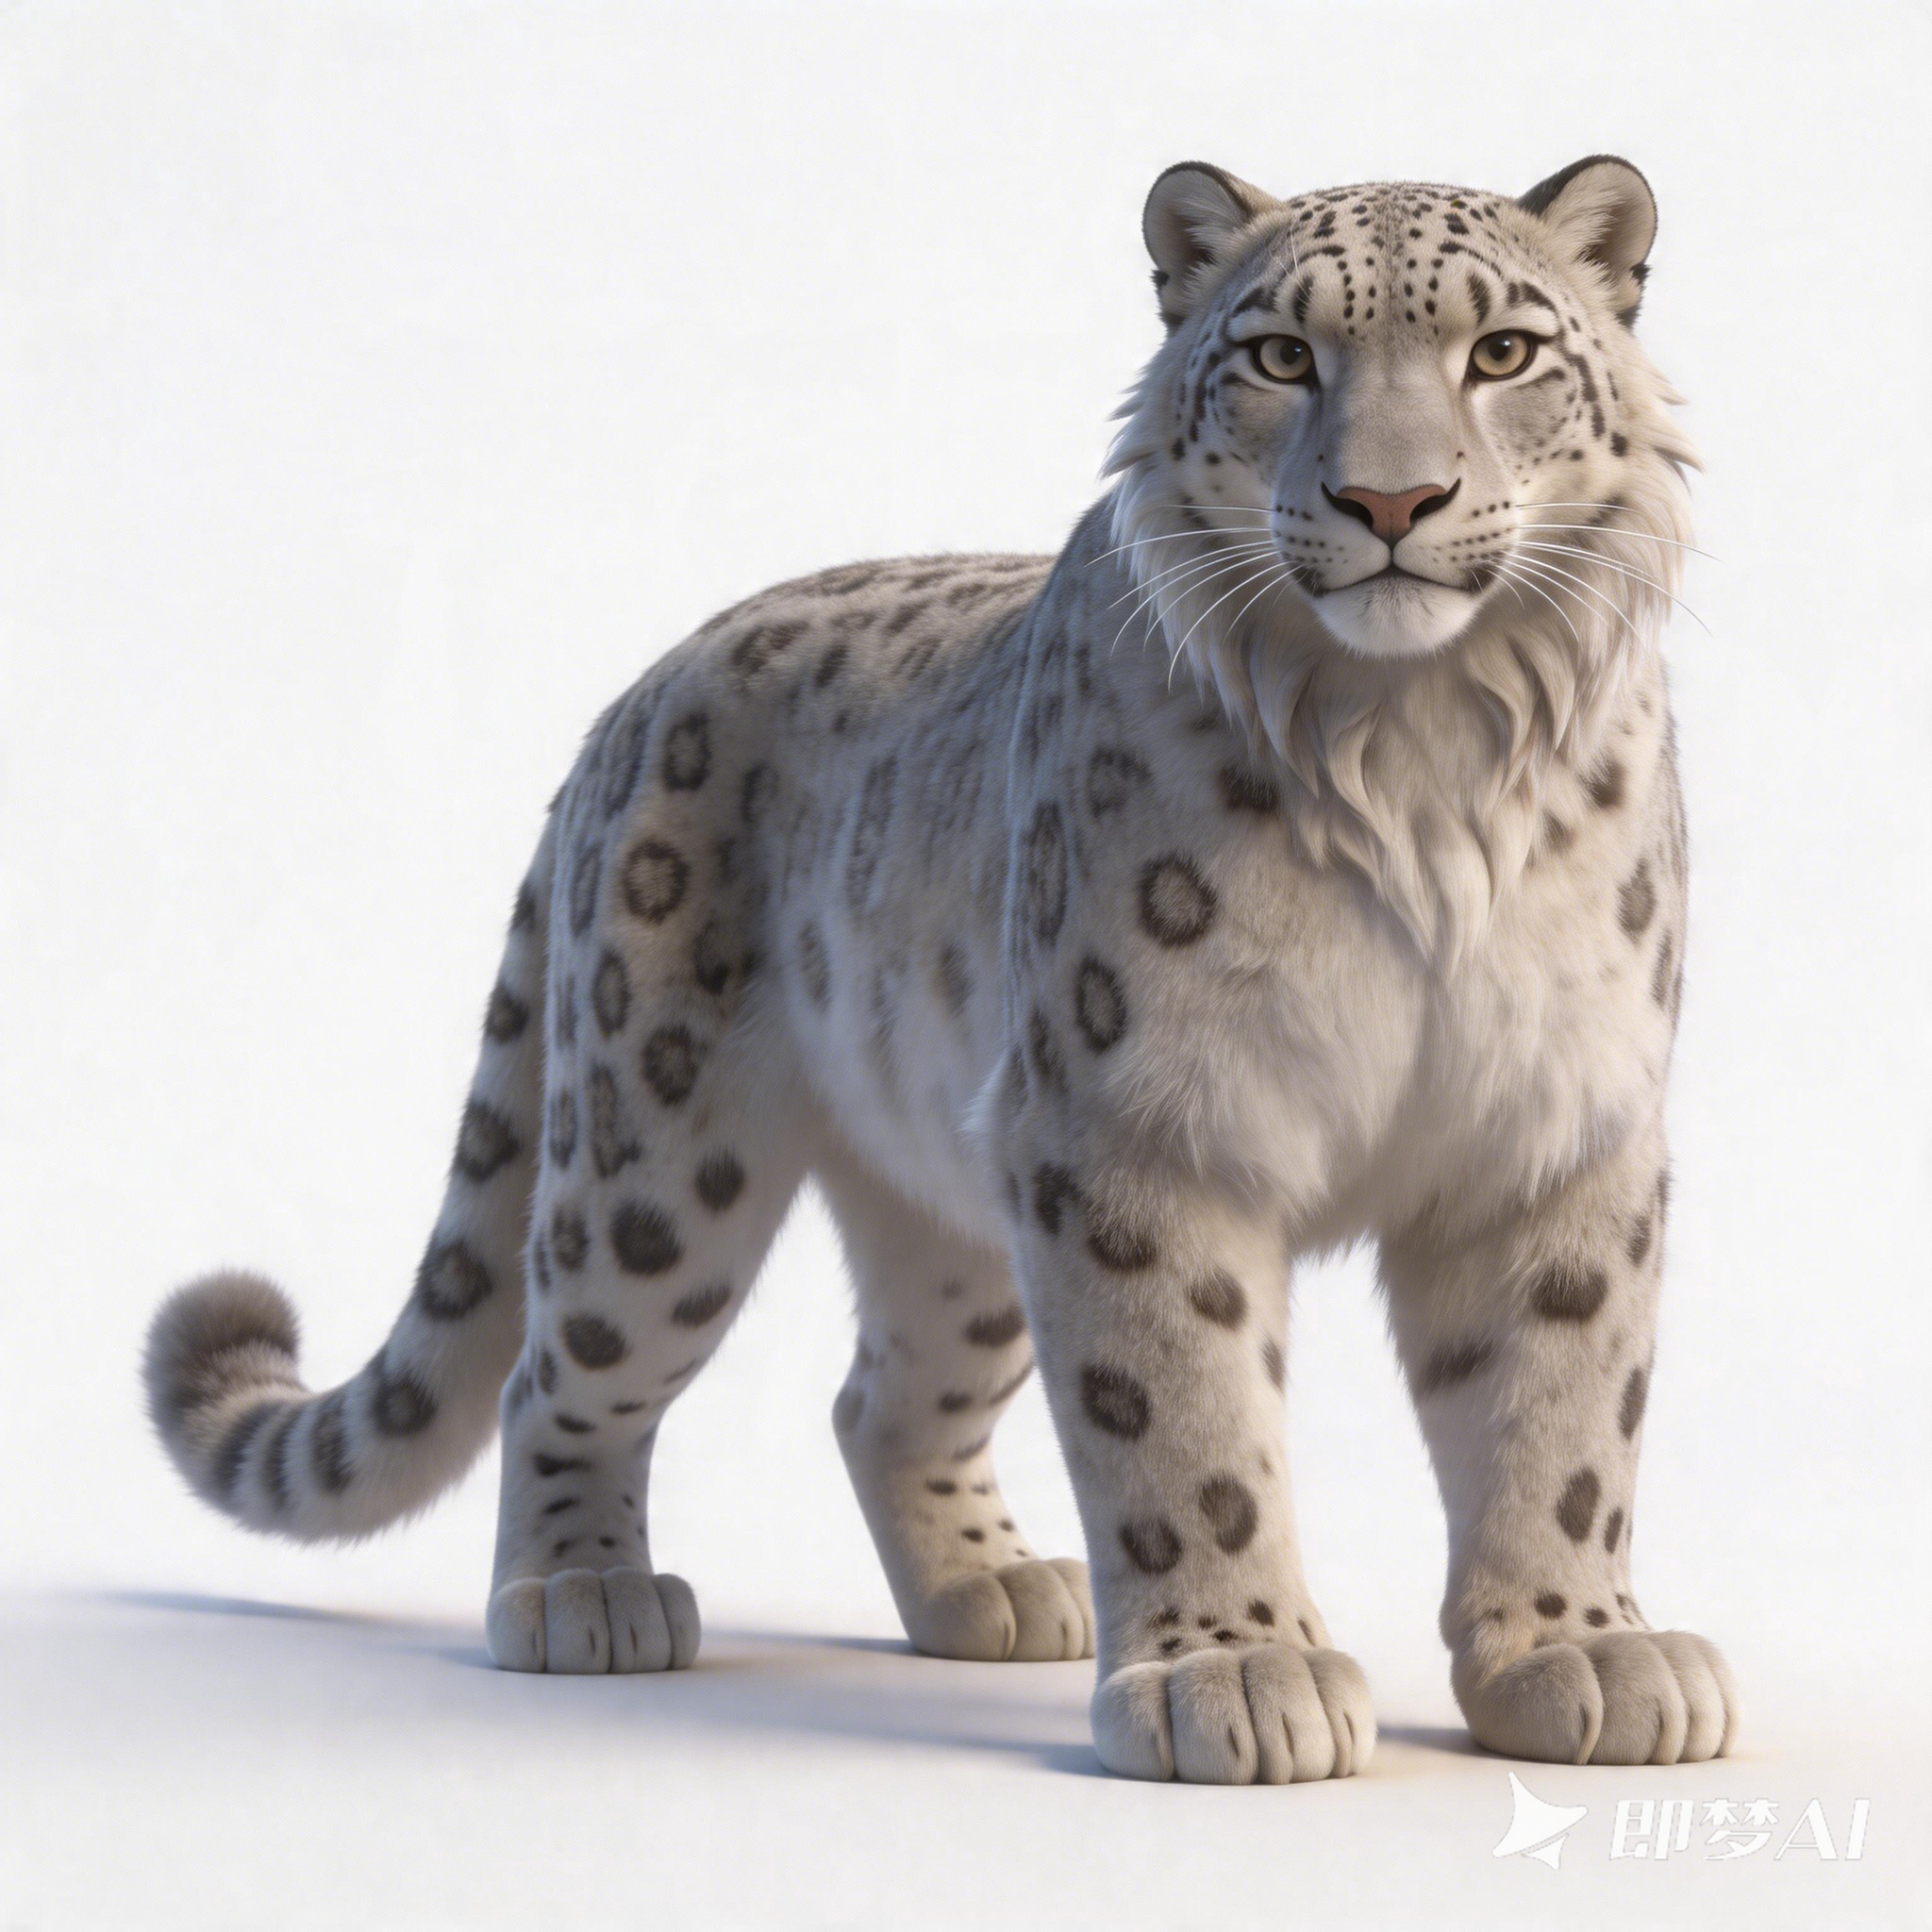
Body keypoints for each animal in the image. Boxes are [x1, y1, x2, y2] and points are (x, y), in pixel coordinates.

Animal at [146, 154, 1736, 1783]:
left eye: (1505, 352)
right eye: (1284, 354)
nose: (1391, 499)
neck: (1412, 740)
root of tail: (634, 697)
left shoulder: (1558, 1128)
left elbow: (1560, 1415)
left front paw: (1579, 1653)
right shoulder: (1137, 1125)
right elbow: (1185, 1418)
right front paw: (1235, 1677)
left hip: (956, 1197)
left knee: (883, 1396)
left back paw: (996, 1589)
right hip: (656, 1161)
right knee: (561, 1365)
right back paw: (583, 1596)